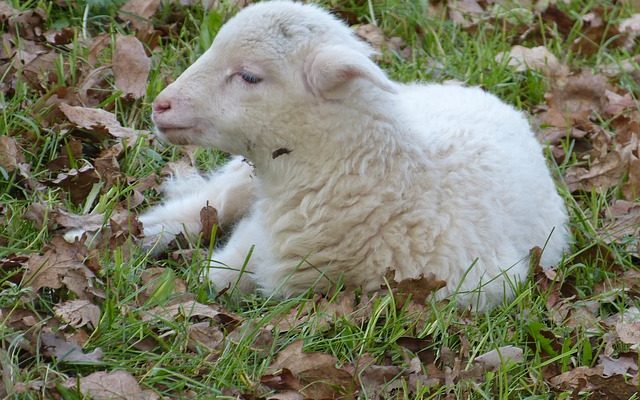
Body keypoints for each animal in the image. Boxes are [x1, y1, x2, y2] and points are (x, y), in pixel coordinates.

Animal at [141, 0, 568, 310]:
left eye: (249, 76)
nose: (160, 105)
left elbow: (220, 275)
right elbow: (220, 268)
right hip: (242, 176)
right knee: (212, 201)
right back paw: (147, 231)